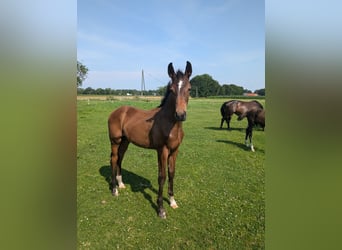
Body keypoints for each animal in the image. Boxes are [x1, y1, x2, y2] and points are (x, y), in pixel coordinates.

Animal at [107, 61, 192, 219]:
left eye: (189, 88)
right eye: (171, 89)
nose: (180, 114)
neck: (170, 124)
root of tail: (116, 111)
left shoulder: (175, 151)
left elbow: (172, 174)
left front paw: (172, 201)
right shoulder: (162, 150)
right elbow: (162, 176)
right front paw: (161, 209)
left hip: (125, 141)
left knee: (120, 158)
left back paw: (121, 184)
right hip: (115, 141)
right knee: (114, 159)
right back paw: (115, 190)